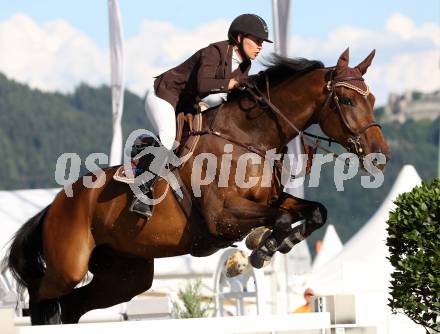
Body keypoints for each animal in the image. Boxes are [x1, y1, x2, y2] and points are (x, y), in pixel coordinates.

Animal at [3, 47, 388, 324]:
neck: (249, 138)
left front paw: (276, 243)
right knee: (41, 297)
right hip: (69, 267)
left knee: (72, 307)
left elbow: (315, 212)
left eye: (372, 100)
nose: (381, 155)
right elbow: (278, 219)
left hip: (124, 275)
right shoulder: (221, 218)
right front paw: (262, 248)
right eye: (348, 100)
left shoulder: (272, 201)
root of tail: (54, 205)